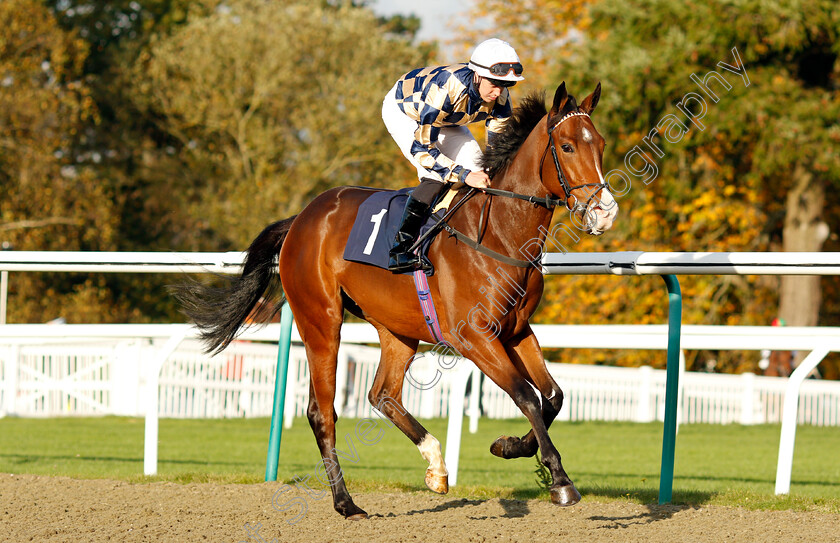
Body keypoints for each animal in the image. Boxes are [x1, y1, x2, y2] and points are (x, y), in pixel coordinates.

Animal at [172, 83, 616, 520]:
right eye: (567, 146)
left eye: (601, 144)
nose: (605, 211)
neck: (499, 236)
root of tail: (300, 219)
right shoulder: (474, 337)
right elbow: (526, 395)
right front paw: (560, 481)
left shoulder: (516, 331)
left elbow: (553, 397)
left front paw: (509, 446)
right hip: (321, 320)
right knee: (322, 411)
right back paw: (346, 503)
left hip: (396, 328)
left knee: (382, 394)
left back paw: (436, 466)